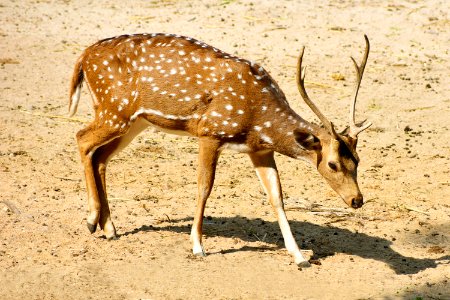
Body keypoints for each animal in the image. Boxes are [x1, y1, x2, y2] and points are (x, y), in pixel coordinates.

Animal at [66, 32, 370, 268]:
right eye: (332, 164)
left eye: (358, 159)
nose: (357, 200)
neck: (259, 117)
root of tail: (83, 57)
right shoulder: (210, 131)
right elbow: (204, 186)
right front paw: (198, 246)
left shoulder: (259, 150)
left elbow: (277, 196)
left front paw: (299, 257)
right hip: (114, 110)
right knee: (82, 138)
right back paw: (92, 220)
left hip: (133, 121)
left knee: (100, 157)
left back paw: (110, 228)